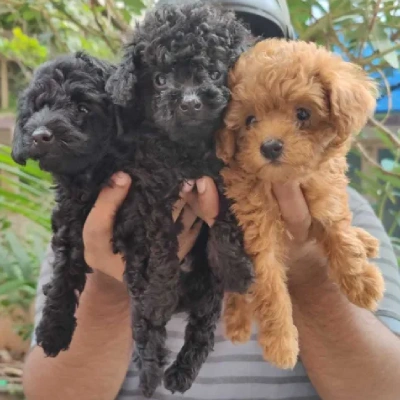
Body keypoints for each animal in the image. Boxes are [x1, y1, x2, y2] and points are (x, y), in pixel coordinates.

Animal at [106, 0, 255, 396]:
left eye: (216, 73)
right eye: (160, 80)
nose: (189, 102)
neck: (188, 150)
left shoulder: (226, 178)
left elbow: (225, 222)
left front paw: (236, 269)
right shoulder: (153, 192)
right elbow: (163, 250)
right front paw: (161, 292)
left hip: (208, 295)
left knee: (201, 331)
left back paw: (179, 375)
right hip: (137, 290)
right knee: (148, 330)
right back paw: (150, 375)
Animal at [217, 39, 386, 370]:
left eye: (303, 114)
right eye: (250, 121)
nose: (269, 146)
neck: (285, 180)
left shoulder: (326, 192)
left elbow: (339, 229)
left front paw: (360, 281)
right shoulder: (257, 232)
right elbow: (269, 286)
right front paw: (281, 341)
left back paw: (366, 240)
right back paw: (237, 321)